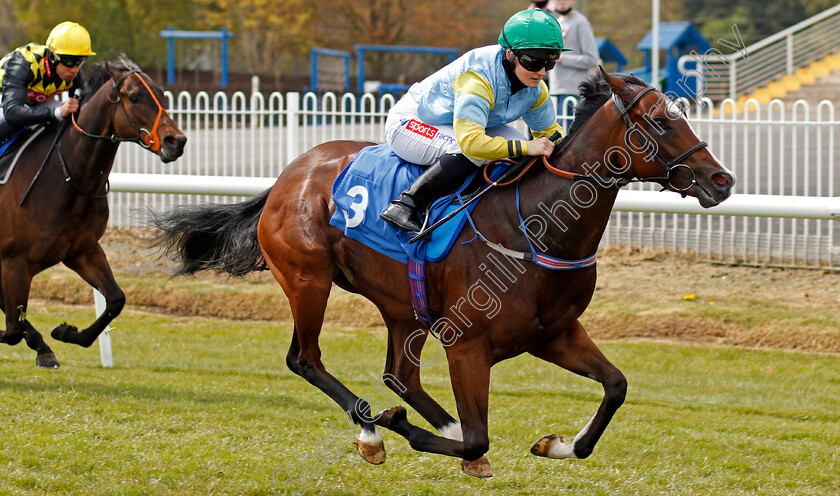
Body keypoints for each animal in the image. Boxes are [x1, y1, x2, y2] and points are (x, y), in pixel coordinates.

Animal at [0, 58, 185, 368]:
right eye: (134, 97)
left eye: (161, 93)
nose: (176, 141)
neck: (66, 178)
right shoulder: (14, 261)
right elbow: (13, 328)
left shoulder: (82, 249)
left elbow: (116, 299)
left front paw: (64, 333)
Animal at [151, 70, 736, 476]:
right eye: (660, 120)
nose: (722, 179)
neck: (535, 226)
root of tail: (287, 177)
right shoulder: (467, 345)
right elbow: (479, 437)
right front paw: (400, 427)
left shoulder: (554, 333)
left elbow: (615, 386)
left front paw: (558, 444)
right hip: (307, 280)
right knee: (306, 359)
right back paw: (372, 430)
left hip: (401, 305)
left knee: (399, 375)